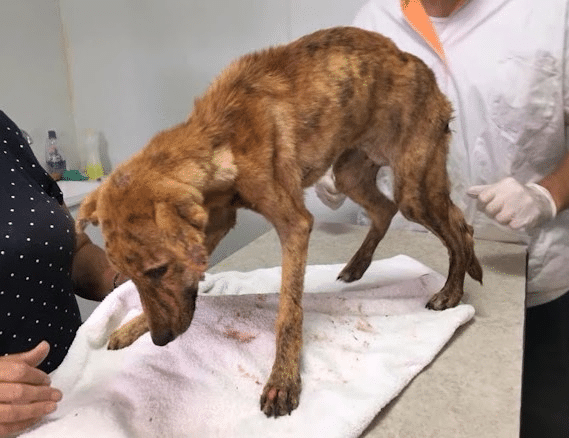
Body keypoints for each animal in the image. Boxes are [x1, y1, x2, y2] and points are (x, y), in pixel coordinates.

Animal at [76, 26, 483, 418]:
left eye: (159, 269)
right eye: (127, 275)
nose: (160, 340)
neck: (221, 137)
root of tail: (427, 73)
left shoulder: (294, 224)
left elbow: (288, 311)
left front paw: (283, 380)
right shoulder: (215, 222)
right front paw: (132, 327)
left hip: (415, 187)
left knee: (458, 229)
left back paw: (451, 291)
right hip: (353, 173)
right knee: (395, 211)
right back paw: (358, 266)